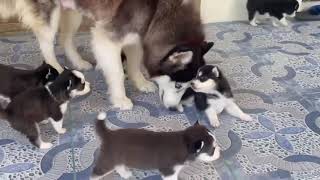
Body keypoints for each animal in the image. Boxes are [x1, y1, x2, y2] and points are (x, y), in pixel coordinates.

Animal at [60, 0, 212, 110]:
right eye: (178, 85)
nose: (174, 108)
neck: (158, 10)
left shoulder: (136, 35)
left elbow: (134, 64)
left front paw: (141, 82)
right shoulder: (108, 40)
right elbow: (117, 73)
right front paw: (120, 98)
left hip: (71, 11)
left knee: (65, 39)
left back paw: (78, 62)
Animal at [90, 112, 220, 180]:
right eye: (212, 150)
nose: (220, 151)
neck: (184, 142)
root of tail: (109, 133)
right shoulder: (168, 172)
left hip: (118, 158)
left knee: (119, 166)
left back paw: (126, 174)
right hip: (108, 160)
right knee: (95, 174)